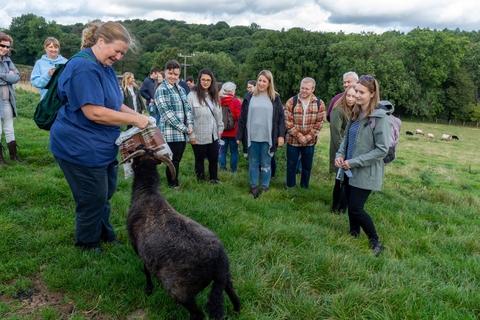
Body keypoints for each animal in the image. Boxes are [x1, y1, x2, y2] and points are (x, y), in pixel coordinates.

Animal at [118, 146, 242, 320]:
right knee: (234, 296)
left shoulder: (137, 245)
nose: (133, 148)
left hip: (181, 290)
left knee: (198, 314)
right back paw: (237, 310)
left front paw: (149, 289)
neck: (147, 192)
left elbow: (146, 270)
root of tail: (218, 260)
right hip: (226, 276)